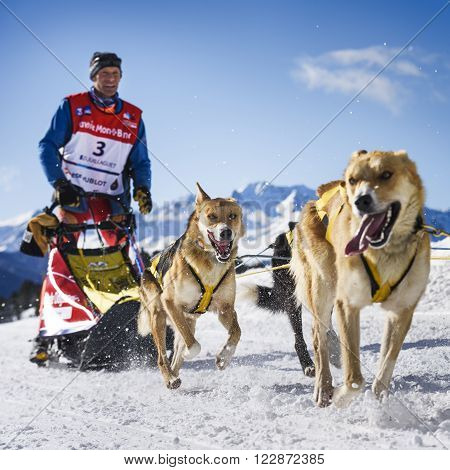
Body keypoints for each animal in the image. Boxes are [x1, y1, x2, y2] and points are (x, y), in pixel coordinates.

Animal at [138, 184, 244, 390]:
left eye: (232, 216)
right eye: (212, 216)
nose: (225, 232)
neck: (210, 263)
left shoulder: (225, 309)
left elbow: (236, 332)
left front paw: (224, 357)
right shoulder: (170, 302)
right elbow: (194, 345)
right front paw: (189, 353)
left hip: (188, 319)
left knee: (177, 353)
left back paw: (174, 374)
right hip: (158, 315)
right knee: (162, 356)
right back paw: (169, 377)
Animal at [290, 151, 430, 408]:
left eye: (386, 174)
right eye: (353, 180)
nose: (361, 201)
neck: (384, 252)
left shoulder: (402, 310)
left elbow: (386, 365)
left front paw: (380, 402)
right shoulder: (347, 304)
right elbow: (354, 378)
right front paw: (340, 397)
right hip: (324, 286)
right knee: (318, 337)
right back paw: (323, 387)